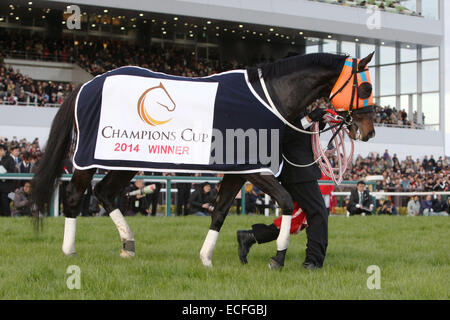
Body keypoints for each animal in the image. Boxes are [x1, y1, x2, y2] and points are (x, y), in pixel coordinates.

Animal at [32, 52, 376, 268]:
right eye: (366, 87)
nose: (369, 131)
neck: (269, 97)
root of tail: (86, 85)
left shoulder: (240, 170)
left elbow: (220, 211)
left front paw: (207, 258)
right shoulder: (255, 169)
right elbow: (287, 201)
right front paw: (277, 257)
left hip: (124, 158)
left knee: (104, 192)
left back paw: (128, 245)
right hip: (87, 158)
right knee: (75, 195)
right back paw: (69, 251)